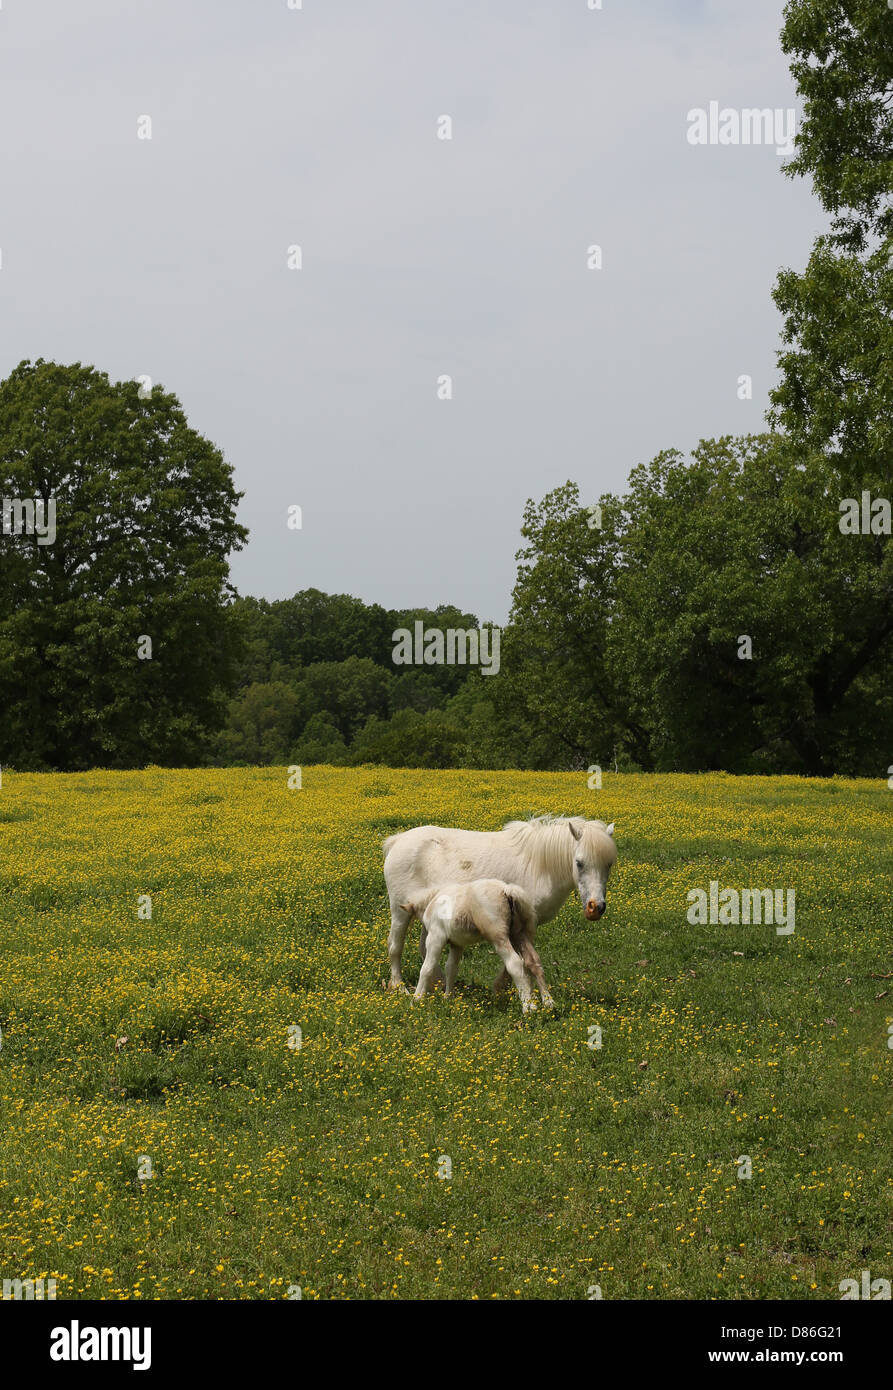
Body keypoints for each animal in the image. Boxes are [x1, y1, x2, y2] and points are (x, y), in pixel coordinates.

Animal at [383, 814, 617, 991]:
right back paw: (399, 987)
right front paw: (502, 989)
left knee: (424, 948)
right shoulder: (524, 925)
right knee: (395, 947)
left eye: (609, 864)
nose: (596, 907)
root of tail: (398, 840)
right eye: (579, 863)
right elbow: (519, 959)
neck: (539, 866)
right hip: (400, 911)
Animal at [406, 879, 553, 1013]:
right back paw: (547, 1003)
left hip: (498, 936)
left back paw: (528, 1008)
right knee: (533, 962)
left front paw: (416, 1000)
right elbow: (451, 968)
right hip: (519, 934)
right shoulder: (457, 944)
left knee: (515, 963)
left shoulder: (436, 937)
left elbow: (426, 968)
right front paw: (448, 998)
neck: (433, 900)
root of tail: (507, 890)